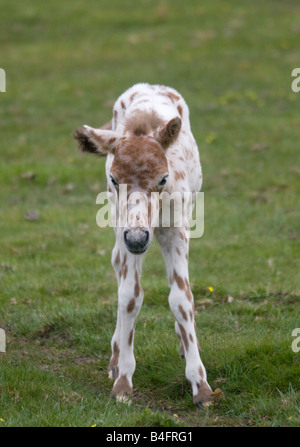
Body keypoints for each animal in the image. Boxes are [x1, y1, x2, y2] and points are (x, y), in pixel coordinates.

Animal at [73, 83, 212, 406]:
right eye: (114, 178)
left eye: (163, 178)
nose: (138, 238)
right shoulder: (126, 233)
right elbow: (130, 296)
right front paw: (123, 381)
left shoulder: (176, 231)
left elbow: (181, 298)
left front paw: (201, 386)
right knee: (116, 261)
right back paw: (115, 357)